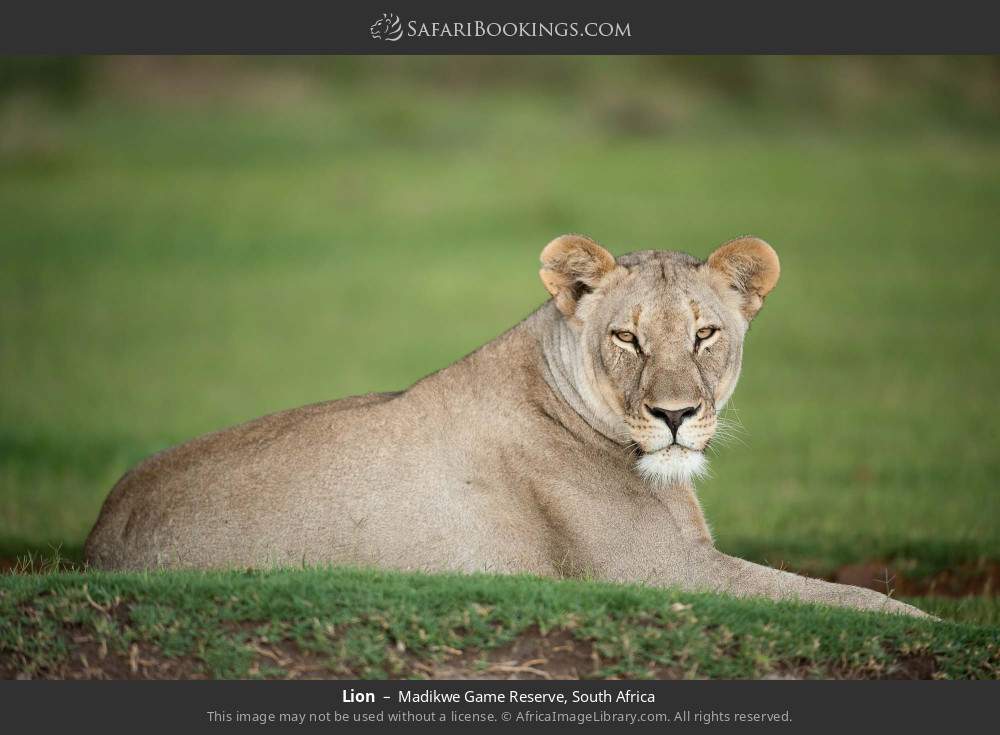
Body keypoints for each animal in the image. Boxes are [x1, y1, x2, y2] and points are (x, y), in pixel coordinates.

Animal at [85, 234, 927, 617]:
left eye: (704, 334)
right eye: (627, 337)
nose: (675, 415)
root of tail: (99, 534)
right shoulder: (658, 573)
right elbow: (842, 598)